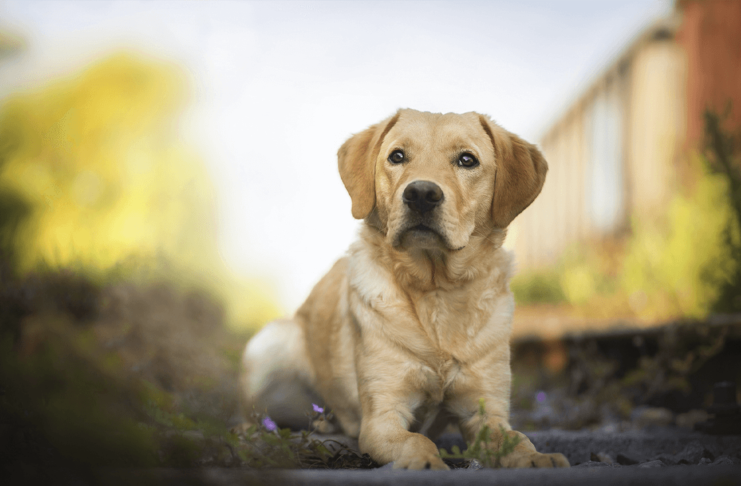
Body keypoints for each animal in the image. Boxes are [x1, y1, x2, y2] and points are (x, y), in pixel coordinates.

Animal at [237, 108, 568, 468]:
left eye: (467, 160)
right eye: (397, 156)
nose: (421, 193)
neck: (435, 290)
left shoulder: (486, 412)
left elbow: (516, 439)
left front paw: (536, 457)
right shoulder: (383, 416)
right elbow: (417, 441)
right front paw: (426, 462)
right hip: (270, 343)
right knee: (251, 417)